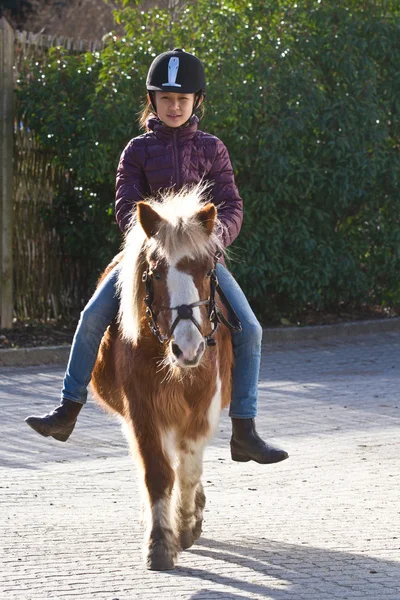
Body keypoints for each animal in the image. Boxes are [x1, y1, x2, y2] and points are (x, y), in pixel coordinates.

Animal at [90, 185, 234, 568]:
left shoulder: (201, 411)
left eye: (207, 269)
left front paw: (185, 525)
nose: (189, 349)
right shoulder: (142, 411)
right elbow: (157, 472)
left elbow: (188, 470)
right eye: (155, 272)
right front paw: (159, 541)